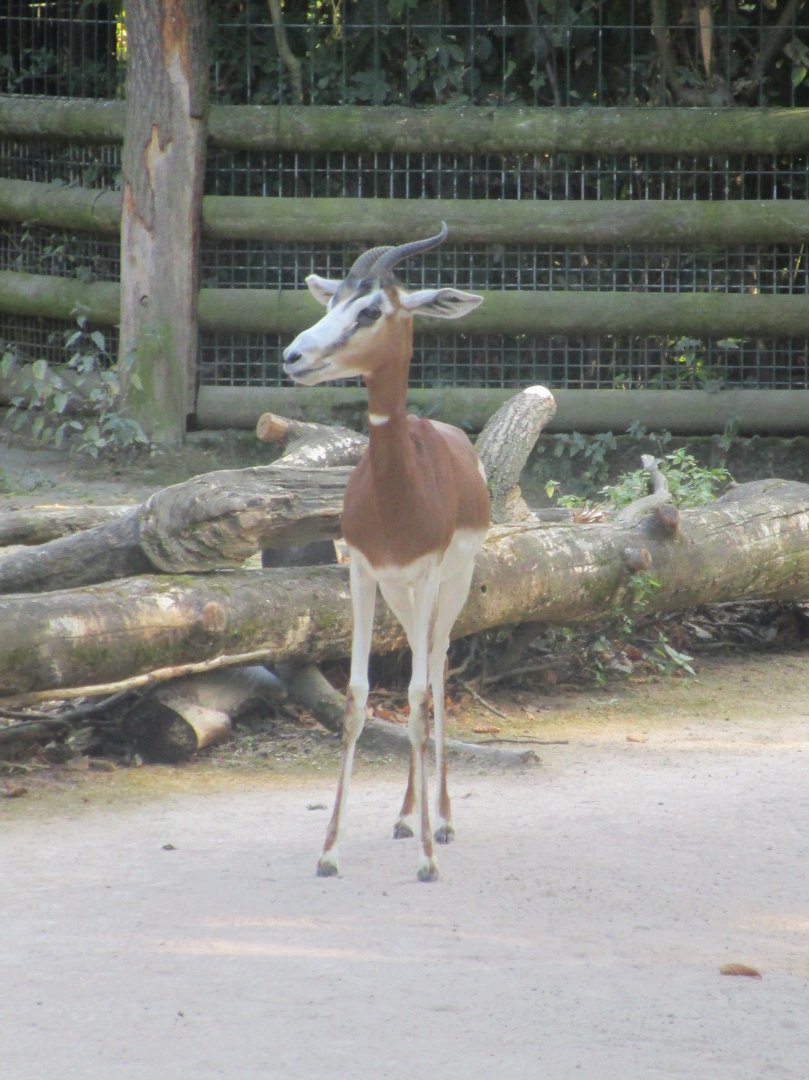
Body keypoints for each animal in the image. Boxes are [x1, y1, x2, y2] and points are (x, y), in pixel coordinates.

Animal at [283, 223, 490, 882]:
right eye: (331, 300)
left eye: (370, 309)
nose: (294, 356)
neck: (400, 487)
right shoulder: (365, 575)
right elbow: (357, 698)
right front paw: (329, 851)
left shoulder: (427, 576)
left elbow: (421, 697)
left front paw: (428, 857)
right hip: (401, 596)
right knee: (422, 668)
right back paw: (404, 816)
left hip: (452, 585)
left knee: (438, 669)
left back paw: (441, 822)